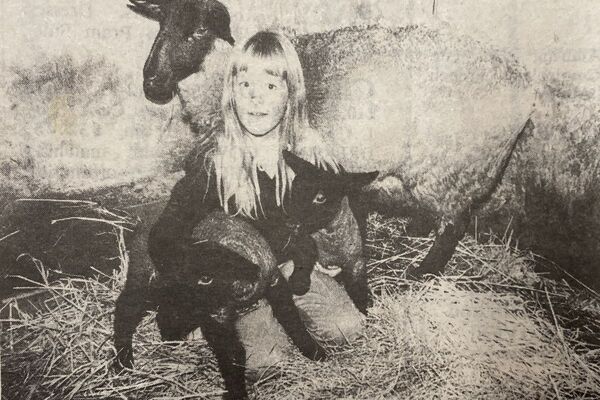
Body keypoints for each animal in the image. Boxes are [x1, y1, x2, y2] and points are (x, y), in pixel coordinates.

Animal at [126, 0, 536, 276]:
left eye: (198, 31)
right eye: (160, 24)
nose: (151, 83)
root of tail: (524, 85)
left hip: (452, 167)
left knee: (455, 224)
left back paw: (423, 271)